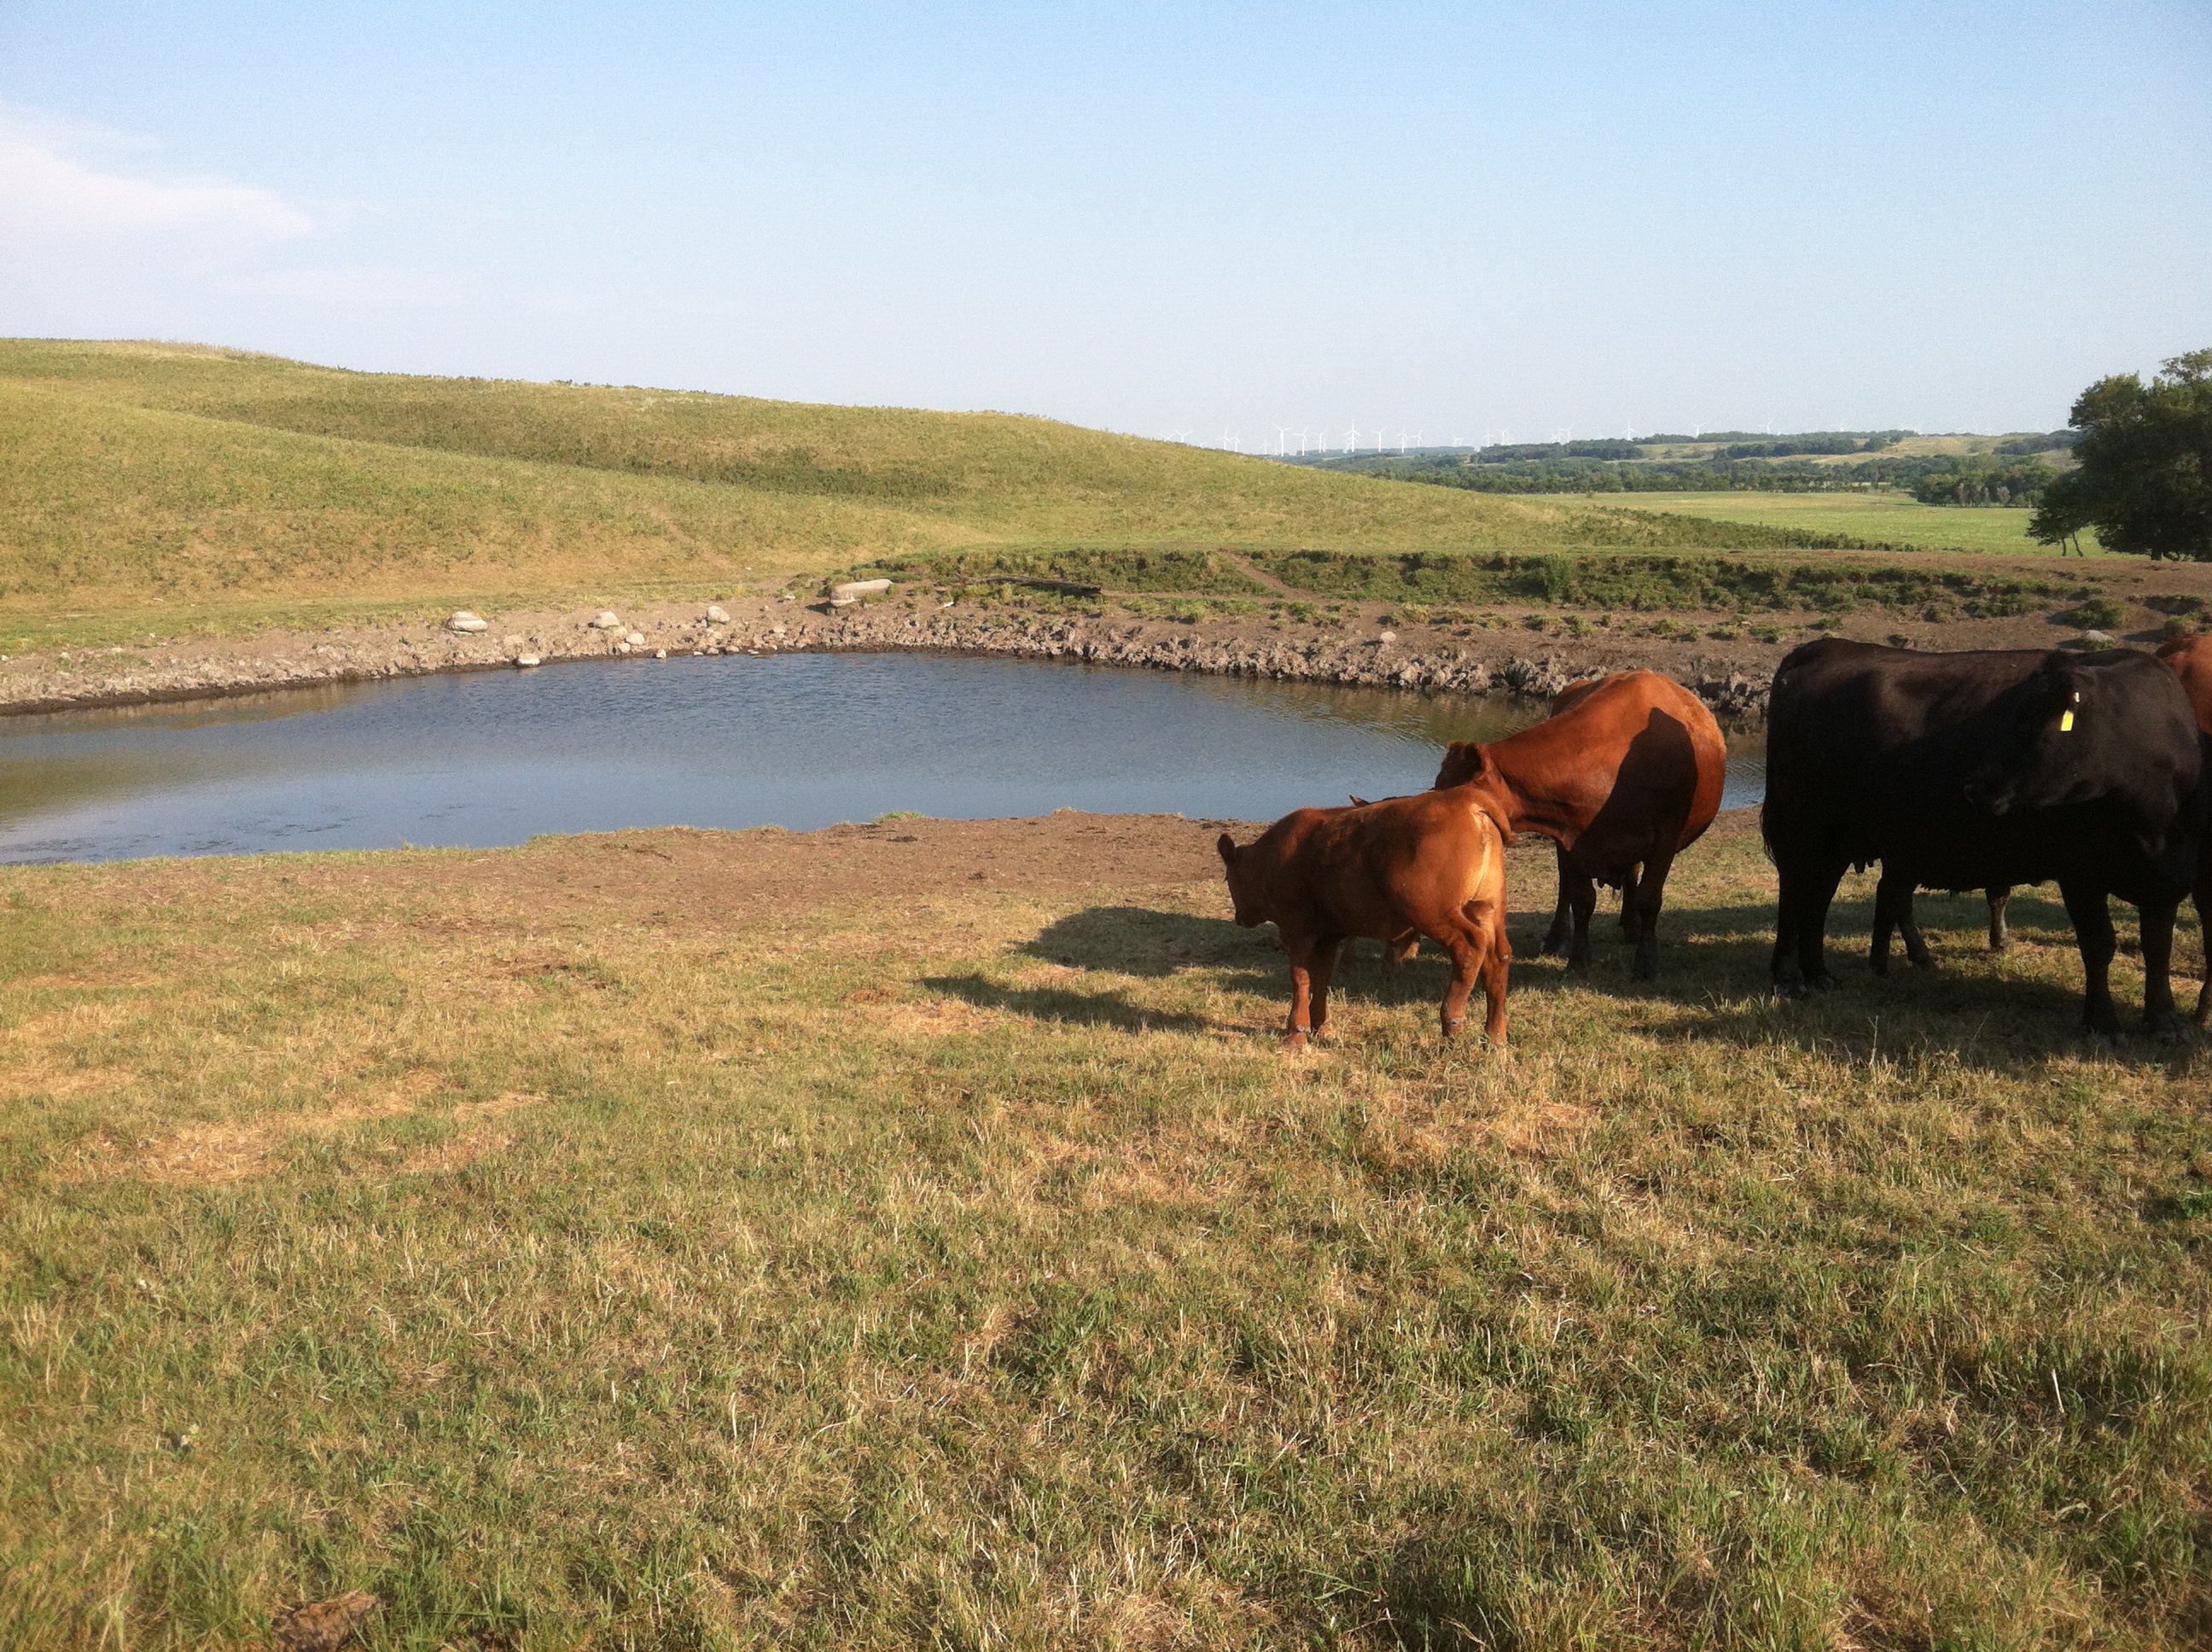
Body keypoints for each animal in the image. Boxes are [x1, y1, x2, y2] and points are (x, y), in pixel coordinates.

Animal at [1220, 787, 1512, 1048]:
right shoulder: (1328, 934)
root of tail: (1464, 797)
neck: (1272, 857)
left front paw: (1296, 1032)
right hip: (1486, 908)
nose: (1239, 918)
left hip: (1434, 913)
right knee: (1498, 956)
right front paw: (1320, 1027)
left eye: (1227, 878)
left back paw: (1452, 1022)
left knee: (1469, 947)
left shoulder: (1297, 927)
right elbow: (1321, 977)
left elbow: (1300, 978)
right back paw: (1495, 1036)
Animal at [1433, 672, 1725, 981]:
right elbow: (1581, 900)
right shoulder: (1570, 840)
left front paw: (1646, 964)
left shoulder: (1664, 841)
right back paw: (1557, 938)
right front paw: (1579, 960)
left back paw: (1631, 927)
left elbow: (1649, 900)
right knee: (1565, 889)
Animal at [1751, 637, 2203, 1039]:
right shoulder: (2079, 873)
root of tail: (1825, 646)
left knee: (1820, 900)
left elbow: (2157, 948)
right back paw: (1789, 978)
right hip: (1804, 830)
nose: (1973, 787)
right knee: (1794, 897)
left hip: (1839, 839)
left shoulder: (2169, 876)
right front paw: (2103, 1024)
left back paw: (1821, 974)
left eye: (2032, 723)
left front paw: (2165, 1022)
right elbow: (2098, 945)